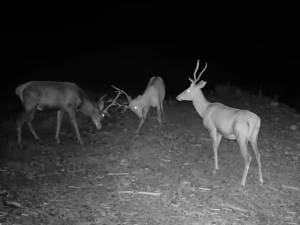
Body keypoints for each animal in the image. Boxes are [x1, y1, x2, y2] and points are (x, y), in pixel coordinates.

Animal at [177, 60, 264, 188]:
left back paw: (242, 183)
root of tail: (255, 120)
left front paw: (215, 169)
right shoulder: (220, 133)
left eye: (188, 89)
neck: (206, 109)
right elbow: (217, 147)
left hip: (241, 139)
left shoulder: (212, 129)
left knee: (248, 157)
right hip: (254, 138)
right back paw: (261, 180)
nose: (178, 97)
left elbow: (213, 147)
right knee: (258, 155)